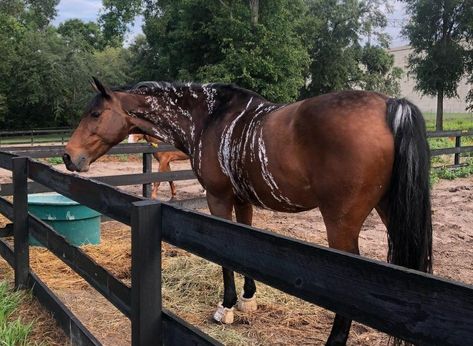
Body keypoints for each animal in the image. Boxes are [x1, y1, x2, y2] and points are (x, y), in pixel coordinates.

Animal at [62, 77, 432, 344]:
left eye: (95, 114)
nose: (68, 156)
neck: (208, 118)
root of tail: (390, 105)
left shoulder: (219, 198)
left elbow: (226, 255)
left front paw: (225, 307)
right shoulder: (242, 201)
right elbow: (243, 247)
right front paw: (248, 298)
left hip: (341, 224)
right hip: (390, 213)